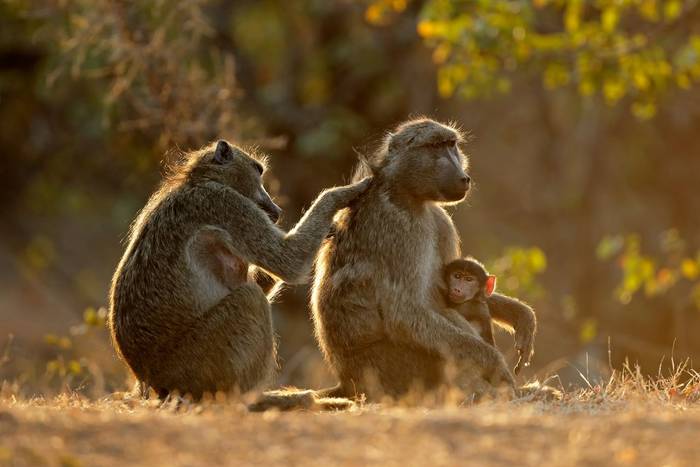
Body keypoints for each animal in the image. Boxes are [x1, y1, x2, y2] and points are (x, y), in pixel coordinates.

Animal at [108, 139, 370, 400]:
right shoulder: (226, 204)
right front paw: (344, 192)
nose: (276, 210)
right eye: (258, 172)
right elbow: (288, 261)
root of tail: (153, 382)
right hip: (196, 365)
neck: (200, 181)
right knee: (250, 298)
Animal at [311, 118, 537, 402]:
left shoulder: (440, 219)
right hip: (390, 373)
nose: (464, 178)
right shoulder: (401, 228)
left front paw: (522, 316)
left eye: (452, 145)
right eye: (435, 146)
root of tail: (348, 383)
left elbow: (460, 291)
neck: (406, 193)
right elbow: (405, 314)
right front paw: (495, 364)